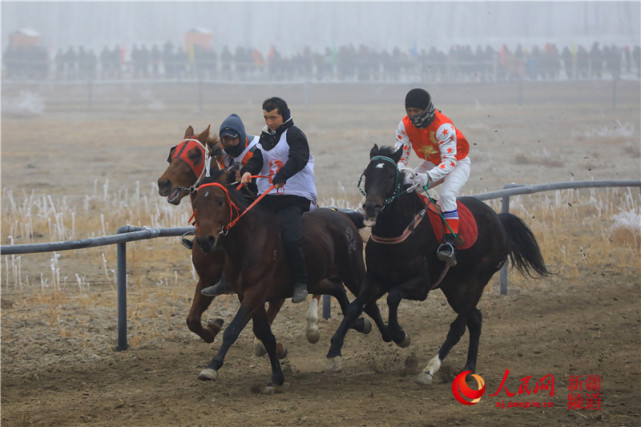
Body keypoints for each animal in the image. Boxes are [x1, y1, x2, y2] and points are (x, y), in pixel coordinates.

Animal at [190, 175, 384, 392]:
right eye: (196, 204)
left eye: (220, 202)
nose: (205, 241)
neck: (251, 239)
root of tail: (343, 217)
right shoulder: (249, 295)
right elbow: (265, 334)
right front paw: (276, 377)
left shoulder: (256, 292)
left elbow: (233, 330)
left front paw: (212, 367)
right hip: (314, 280)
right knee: (338, 289)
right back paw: (360, 324)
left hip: (352, 271)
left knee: (370, 303)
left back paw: (393, 336)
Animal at [328, 145, 548, 384]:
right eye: (367, 173)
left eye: (389, 175)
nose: (370, 206)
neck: (396, 232)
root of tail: (499, 220)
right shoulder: (376, 280)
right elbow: (354, 307)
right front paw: (334, 352)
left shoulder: (421, 285)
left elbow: (393, 297)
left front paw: (400, 335)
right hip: (454, 288)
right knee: (475, 320)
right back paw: (469, 367)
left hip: (477, 280)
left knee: (458, 326)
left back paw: (430, 369)